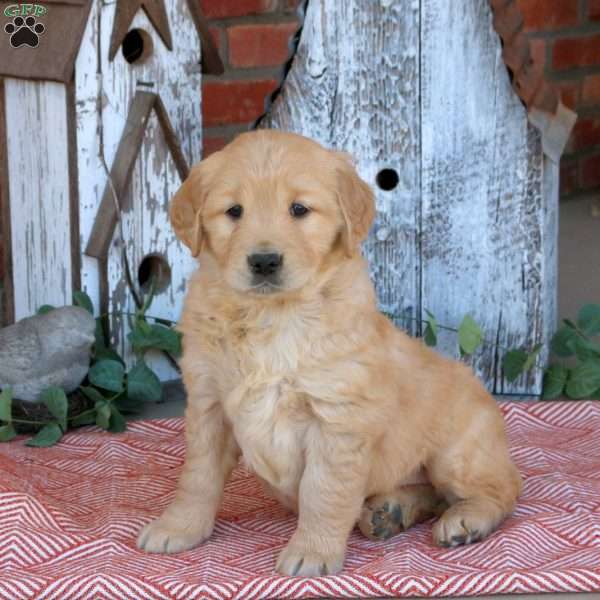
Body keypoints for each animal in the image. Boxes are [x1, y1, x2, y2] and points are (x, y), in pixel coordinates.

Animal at [136, 130, 520, 576]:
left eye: (299, 209)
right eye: (234, 211)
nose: (264, 261)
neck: (272, 315)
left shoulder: (337, 416)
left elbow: (324, 491)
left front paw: (312, 552)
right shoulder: (208, 404)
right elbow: (197, 476)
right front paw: (178, 527)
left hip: (457, 451)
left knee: (502, 487)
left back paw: (465, 520)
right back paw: (389, 512)